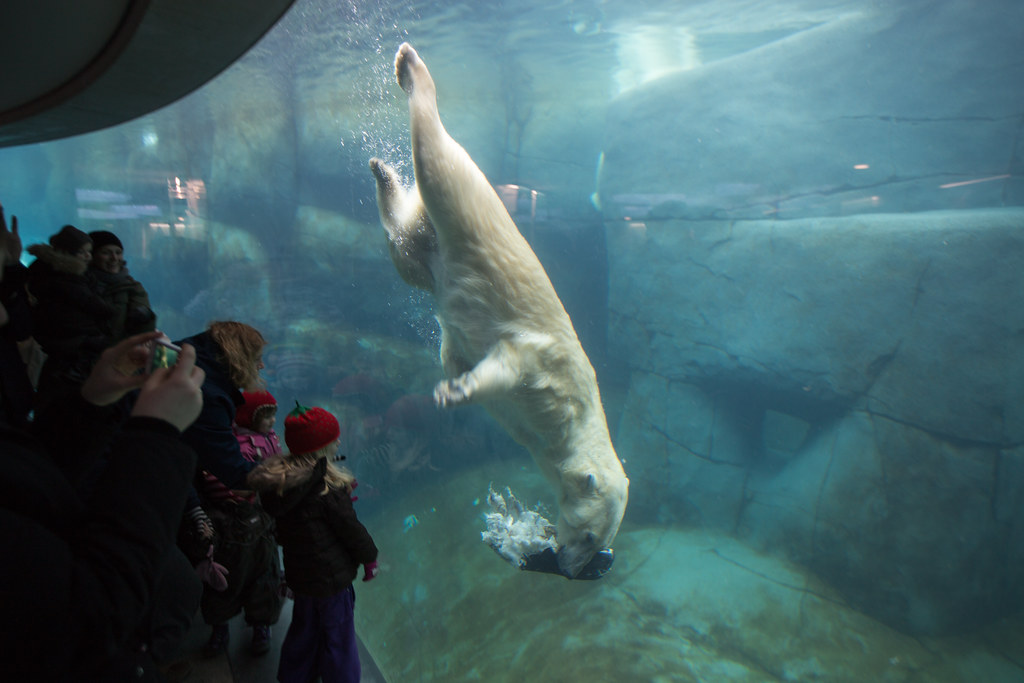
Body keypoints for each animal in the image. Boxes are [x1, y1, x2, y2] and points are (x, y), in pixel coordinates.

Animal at [368, 43, 628, 578]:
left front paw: (451, 372)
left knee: (406, 248)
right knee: (435, 159)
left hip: (428, 245)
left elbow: (458, 348)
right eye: (591, 535)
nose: (573, 565)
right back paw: (410, 68)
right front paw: (454, 391)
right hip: (464, 201)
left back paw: (382, 169)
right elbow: (506, 365)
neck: (572, 422)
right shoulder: (547, 368)